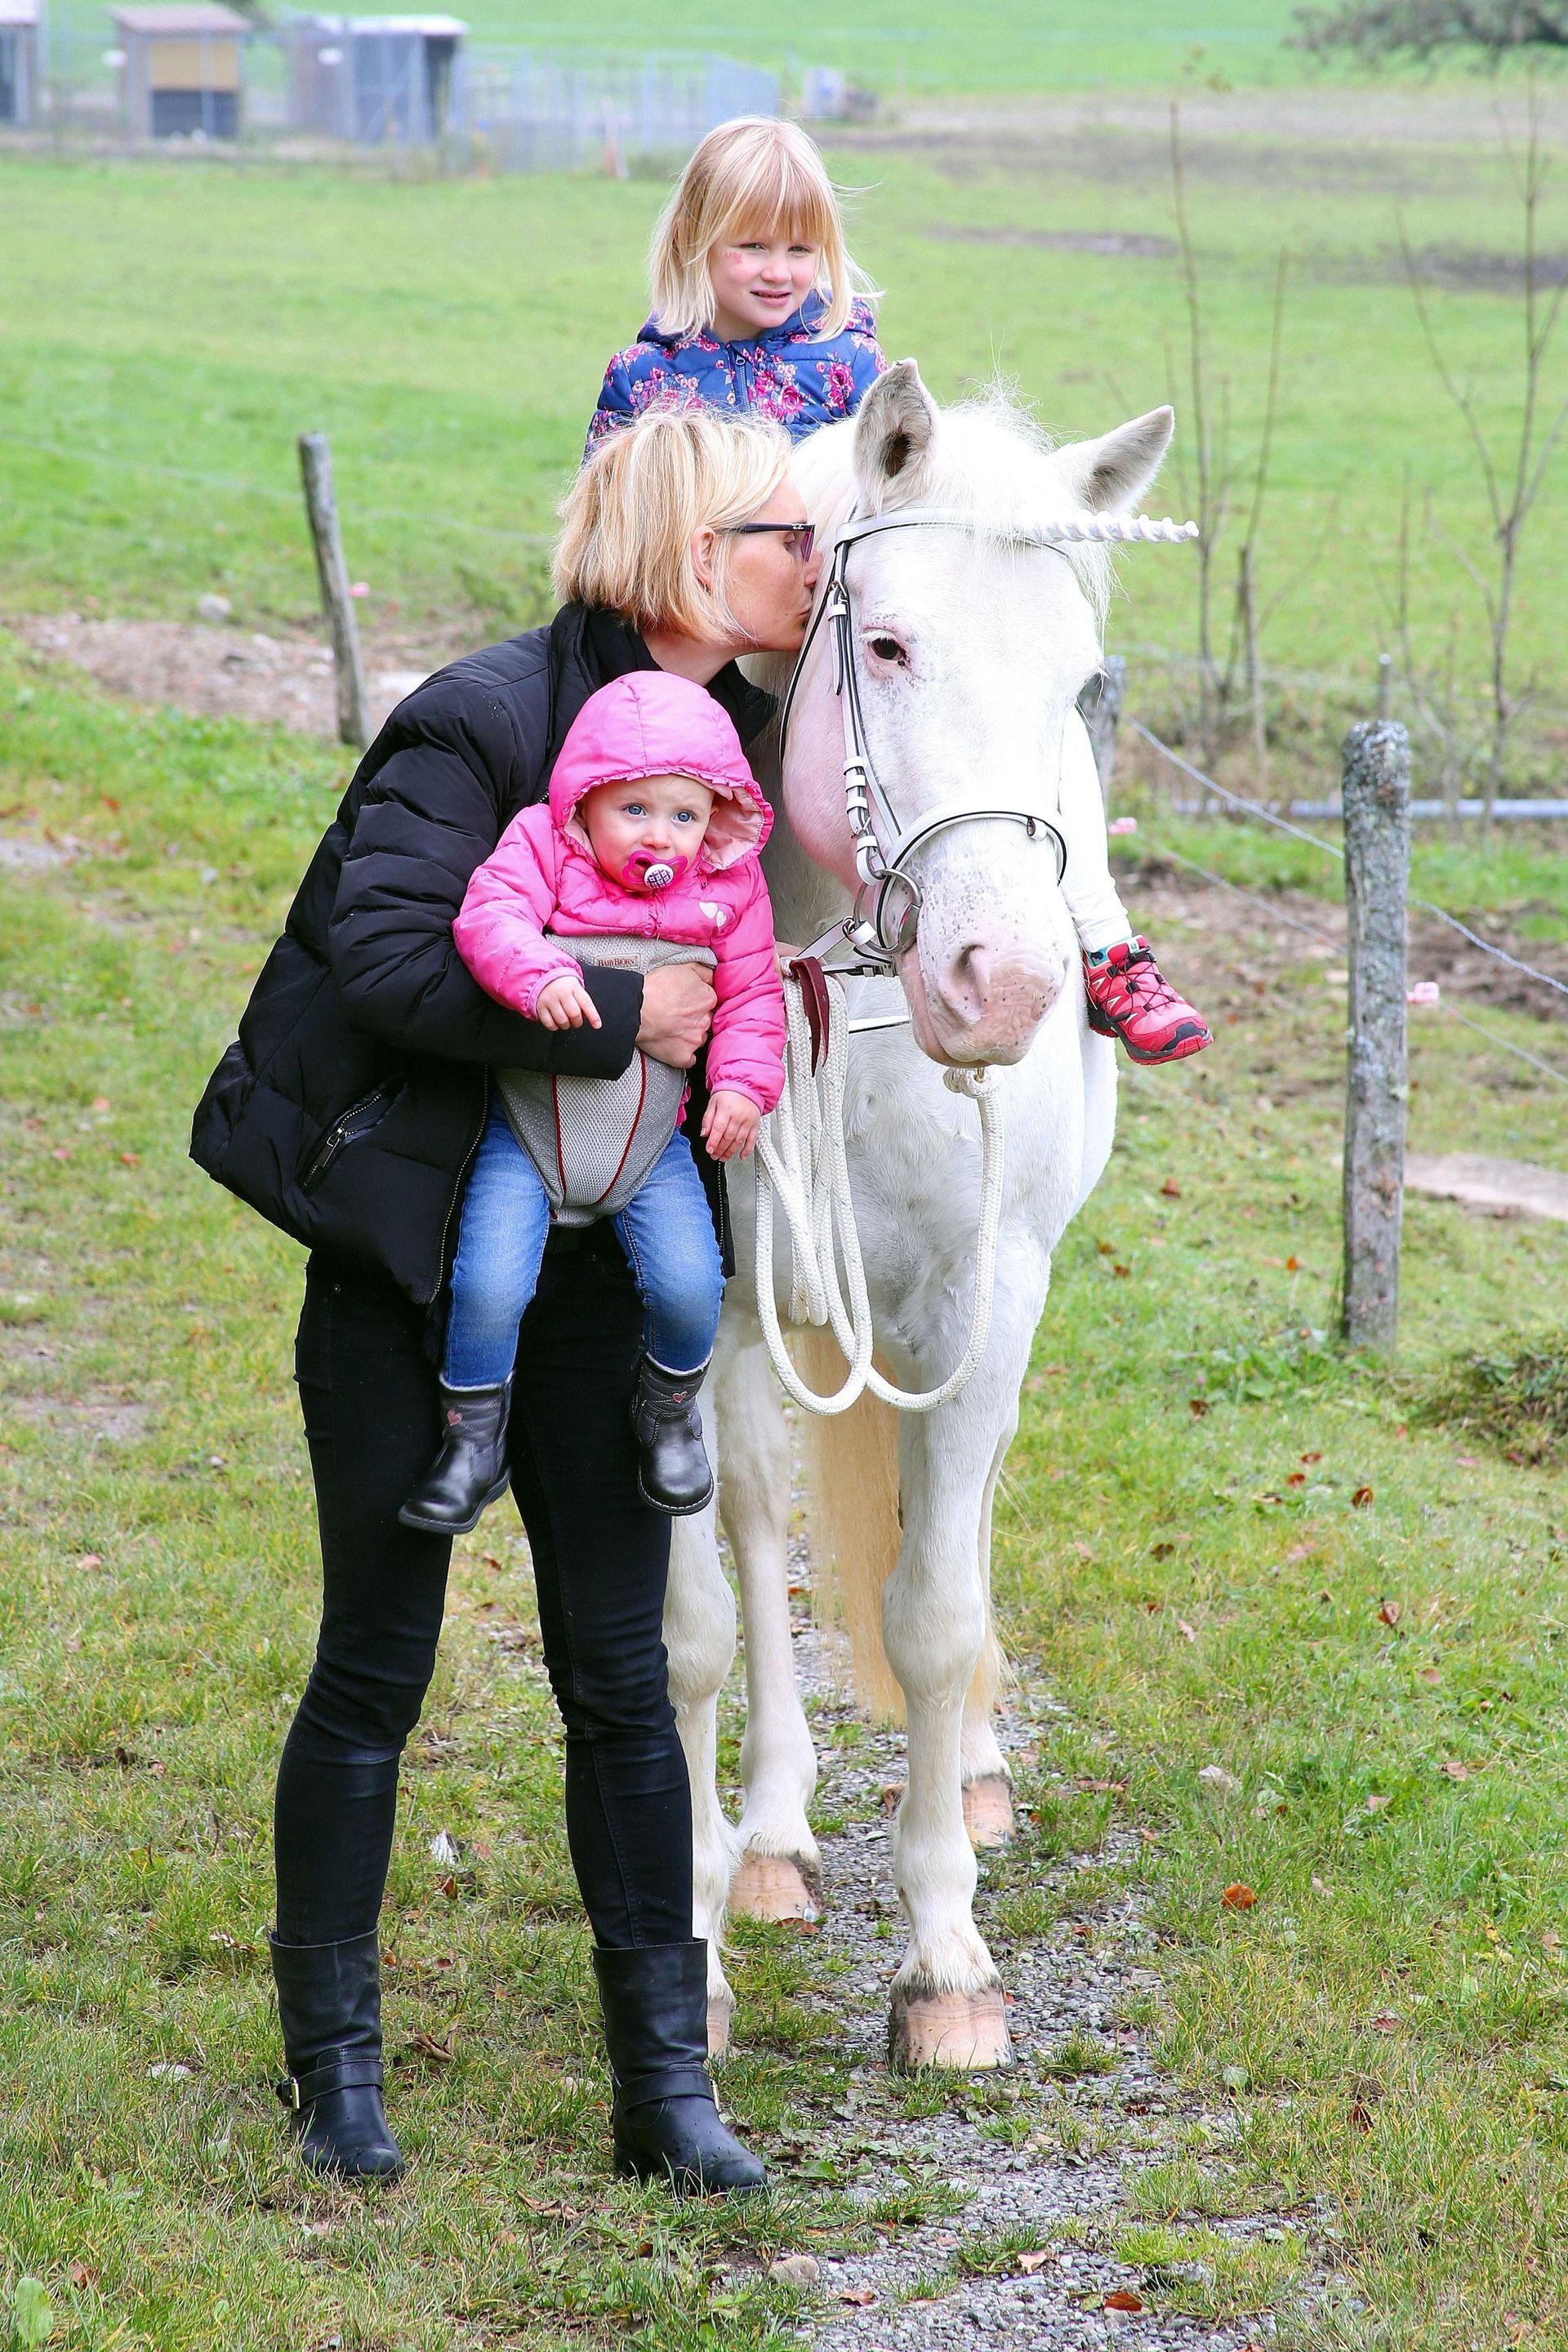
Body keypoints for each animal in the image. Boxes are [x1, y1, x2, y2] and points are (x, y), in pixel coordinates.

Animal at [663, 361, 1179, 2069]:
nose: (1002, 986)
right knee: (762, 1524)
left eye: (1081, 682)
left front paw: (947, 1962)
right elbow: (692, 1621)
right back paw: (769, 1840)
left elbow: (937, 1612)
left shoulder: (985, 1302)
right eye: (885, 646)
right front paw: (690, 1943)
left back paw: (974, 1772)